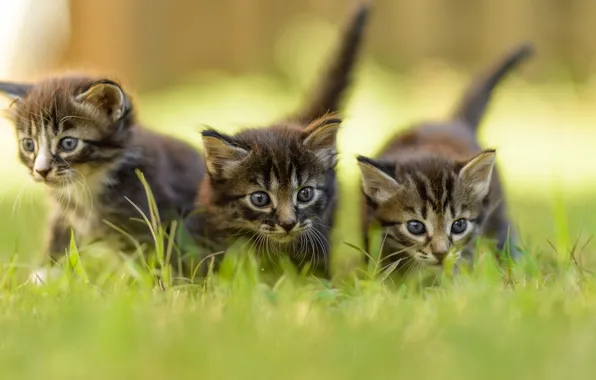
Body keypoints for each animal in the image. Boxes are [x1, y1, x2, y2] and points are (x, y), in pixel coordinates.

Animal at [0, 76, 204, 280]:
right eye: (28, 145)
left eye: (68, 143)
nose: (41, 170)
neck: (88, 183)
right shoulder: (64, 213)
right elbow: (59, 239)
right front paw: (44, 275)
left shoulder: (155, 211)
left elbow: (160, 257)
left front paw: (164, 283)